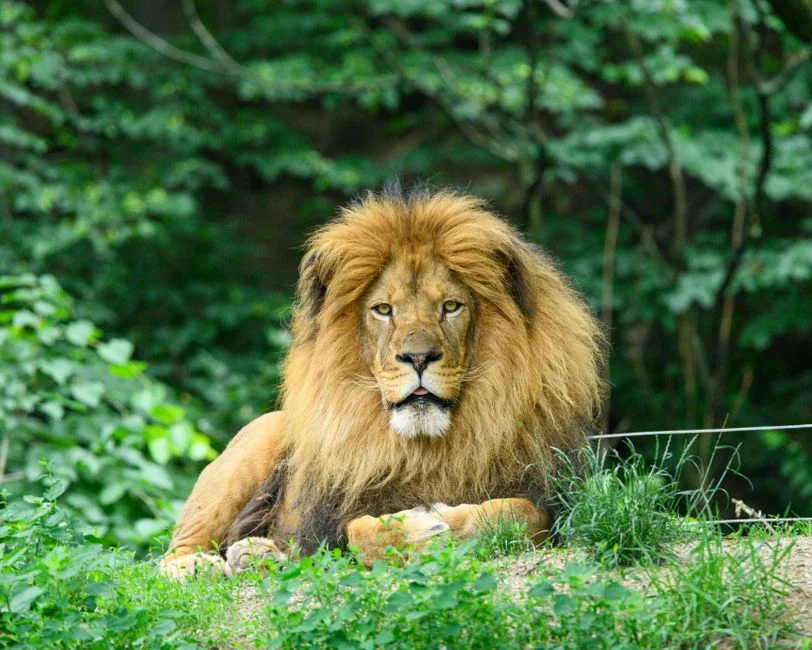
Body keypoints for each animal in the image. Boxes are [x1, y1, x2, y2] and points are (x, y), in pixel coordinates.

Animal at [161, 186, 604, 578]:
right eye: (384, 310)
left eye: (451, 306)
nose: (418, 357)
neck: (426, 450)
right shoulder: (332, 523)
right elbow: (360, 531)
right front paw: (422, 529)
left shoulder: (551, 499)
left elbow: (513, 514)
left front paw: (444, 520)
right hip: (252, 443)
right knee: (175, 549)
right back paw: (198, 567)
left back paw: (257, 555)